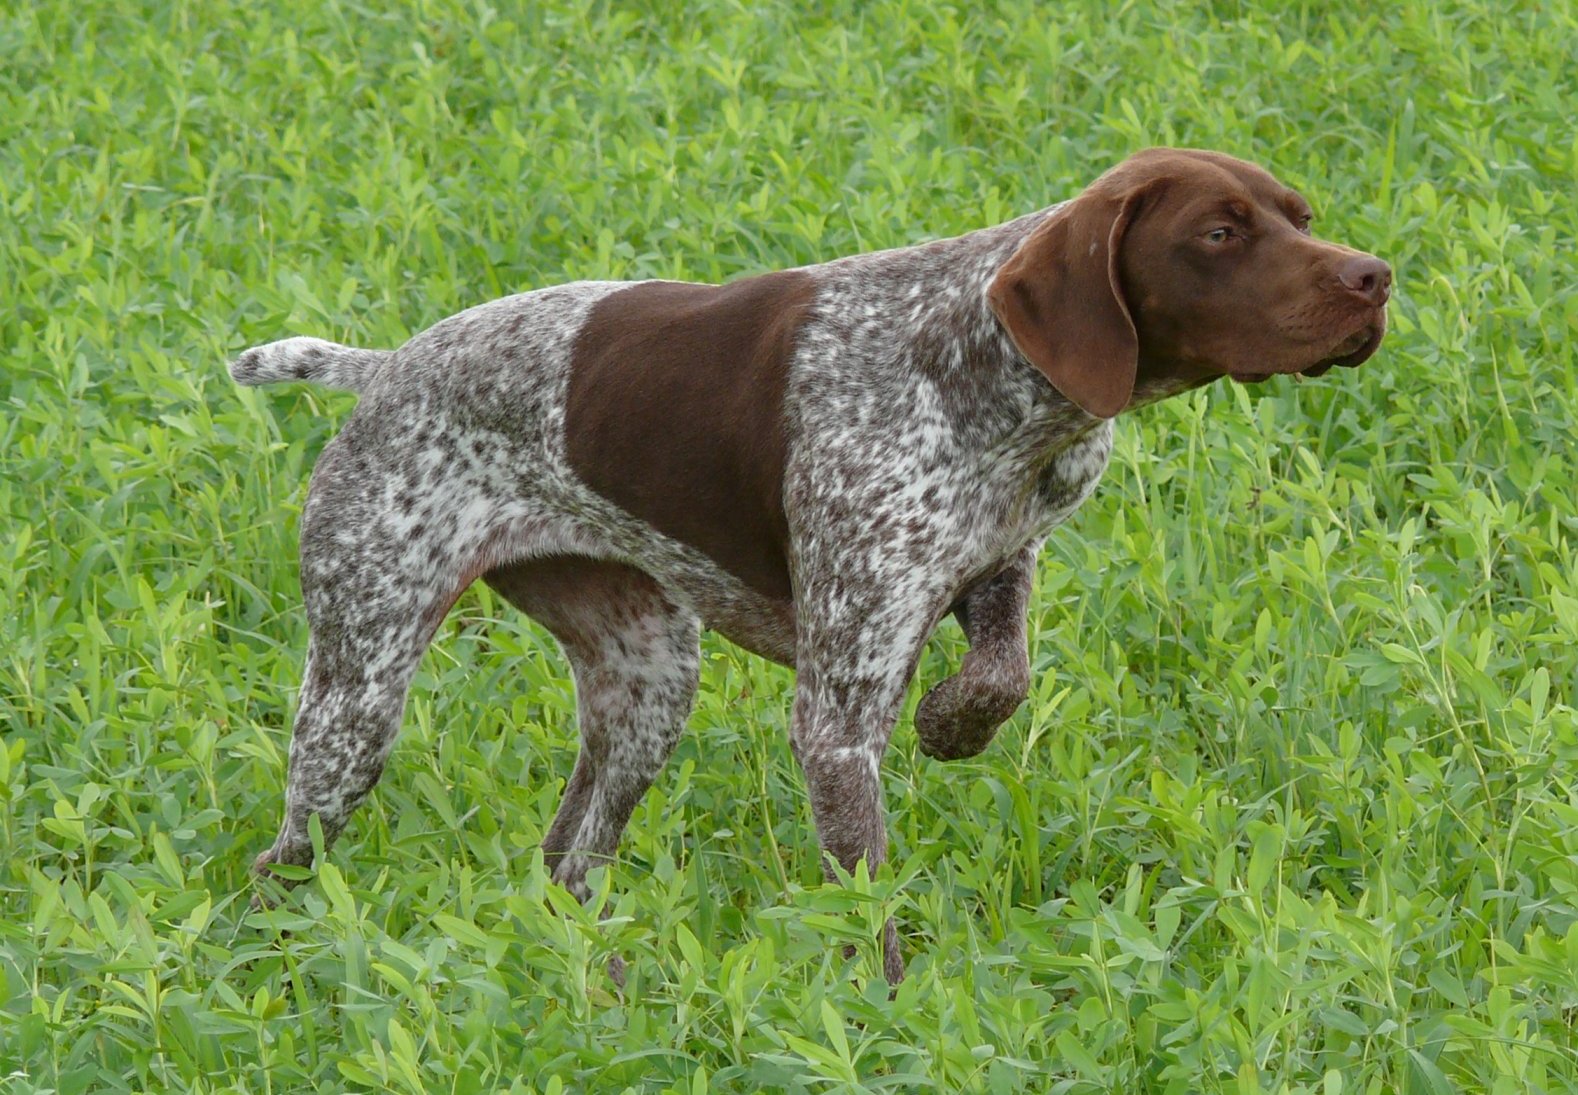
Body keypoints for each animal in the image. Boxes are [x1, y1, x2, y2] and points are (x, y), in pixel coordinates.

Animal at [228, 148, 1388, 984]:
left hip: (648, 680)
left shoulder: (998, 565)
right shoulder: (838, 715)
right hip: (359, 694)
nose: (1374, 279)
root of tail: (390, 367)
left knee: (569, 858)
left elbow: (1003, 675)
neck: (982, 371)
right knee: (281, 863)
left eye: (1302, 216)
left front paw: (953, 725)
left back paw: (600, 976)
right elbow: (867, 895)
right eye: (1220, 233)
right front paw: (888, 1012)